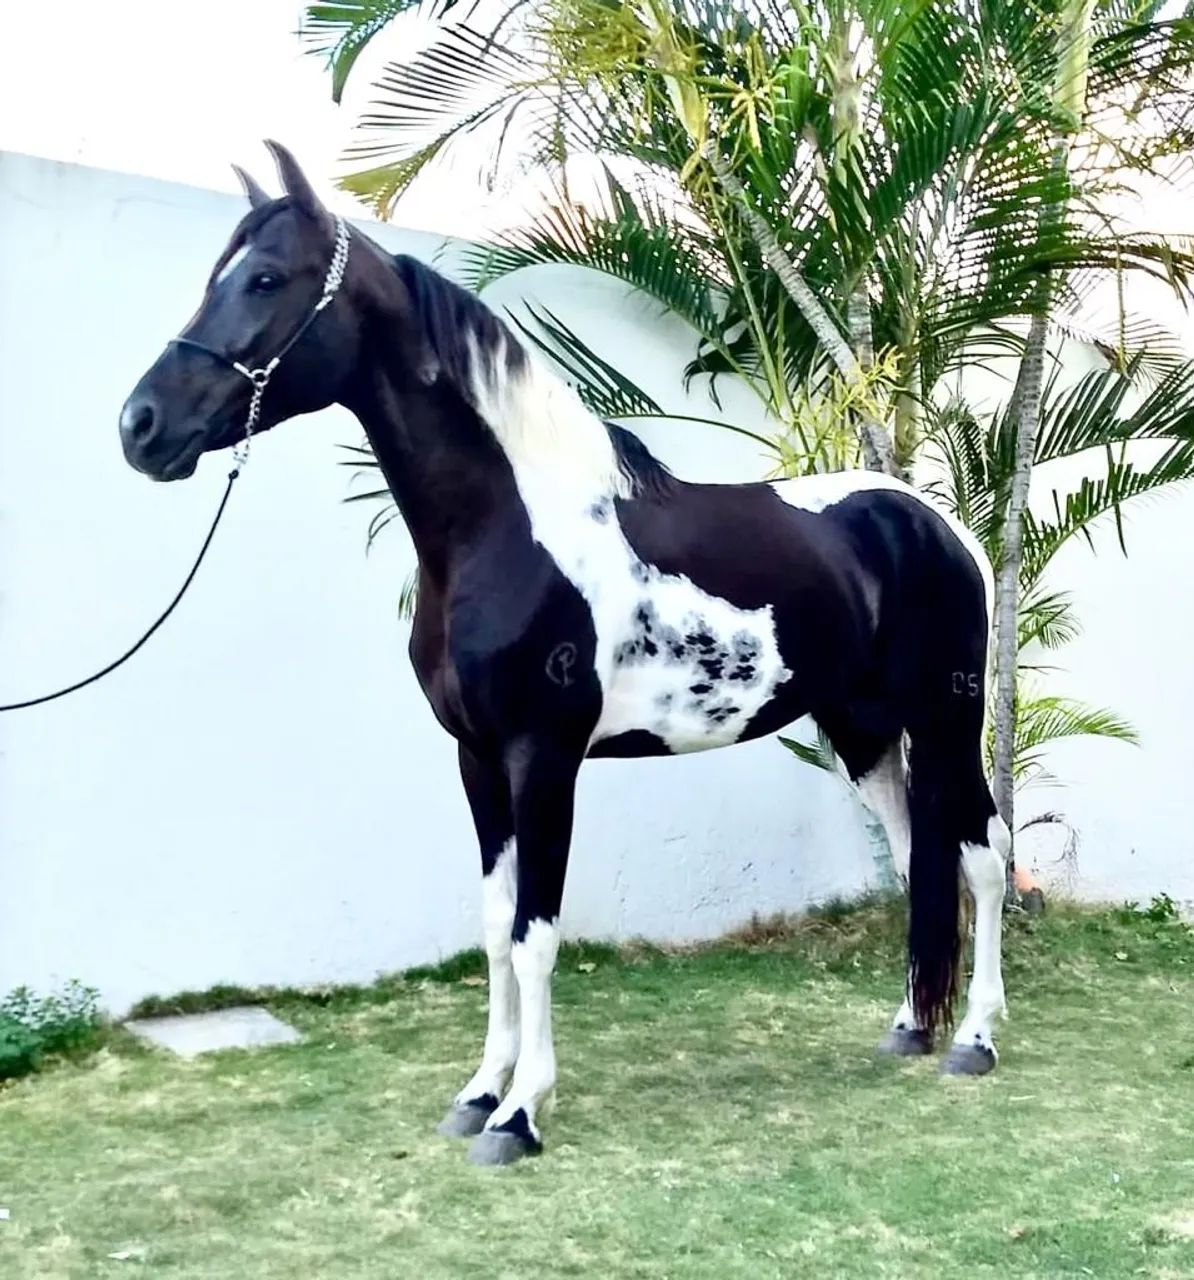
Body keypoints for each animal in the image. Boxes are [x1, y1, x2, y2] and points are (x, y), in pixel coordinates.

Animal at [119, 142, 1011, 1167]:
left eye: (266, 278)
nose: (140, 426)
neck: (505, 532)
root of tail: (936, 521)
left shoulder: (543, 758)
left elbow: (534, 934)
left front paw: (518, 1115)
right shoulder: (476, 761)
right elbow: (493, 932)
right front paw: (477, 1093)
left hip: (946, 717)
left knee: (984, 858)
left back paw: (975, 1040)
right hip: (861, 729)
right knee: (916, 861)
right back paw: (909, 1027)